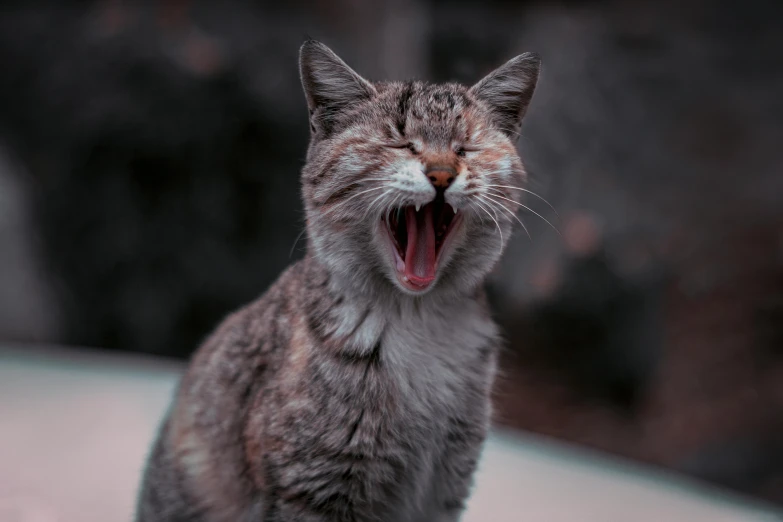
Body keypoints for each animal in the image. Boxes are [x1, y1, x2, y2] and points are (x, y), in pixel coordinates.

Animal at [136, 40, 540, 520]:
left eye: (466, 148)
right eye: (399, 142)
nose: (442, 173)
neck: (417, 320)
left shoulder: (446, 482)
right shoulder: (311, 485)